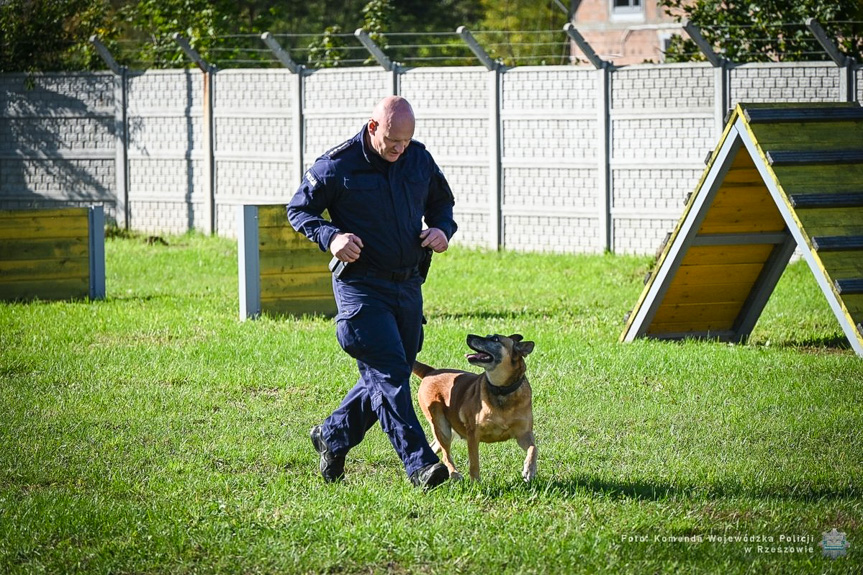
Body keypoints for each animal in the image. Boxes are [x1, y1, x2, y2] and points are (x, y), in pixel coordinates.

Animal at [410, 336, 532, 484]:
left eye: (495, 339)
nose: (469, 336)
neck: (502, 391)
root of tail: (431, 372)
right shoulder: (473, 434)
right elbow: (474, 462)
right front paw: (476, 483)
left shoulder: (523, 434)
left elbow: (533, 449)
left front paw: (529, 470)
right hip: (441, 426)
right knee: (446, 455)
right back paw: (454, 474)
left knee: (434, 447)